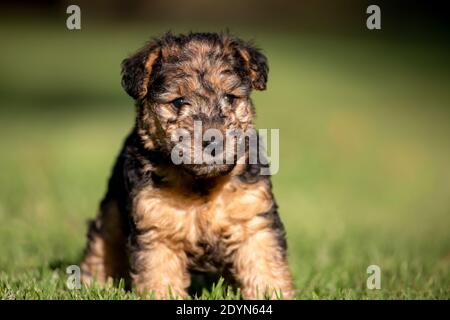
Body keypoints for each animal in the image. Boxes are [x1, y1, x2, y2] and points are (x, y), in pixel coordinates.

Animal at [79, 31, 294, 298]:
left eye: (230, 97)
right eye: (178, 101)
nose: (214, 142)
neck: (202, 183)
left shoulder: (253, 219)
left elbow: (265, 266)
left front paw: (271, 293)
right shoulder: (156, 229)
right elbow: (160, 277)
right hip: (112, 211)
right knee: (101, 242)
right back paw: (92, 284)